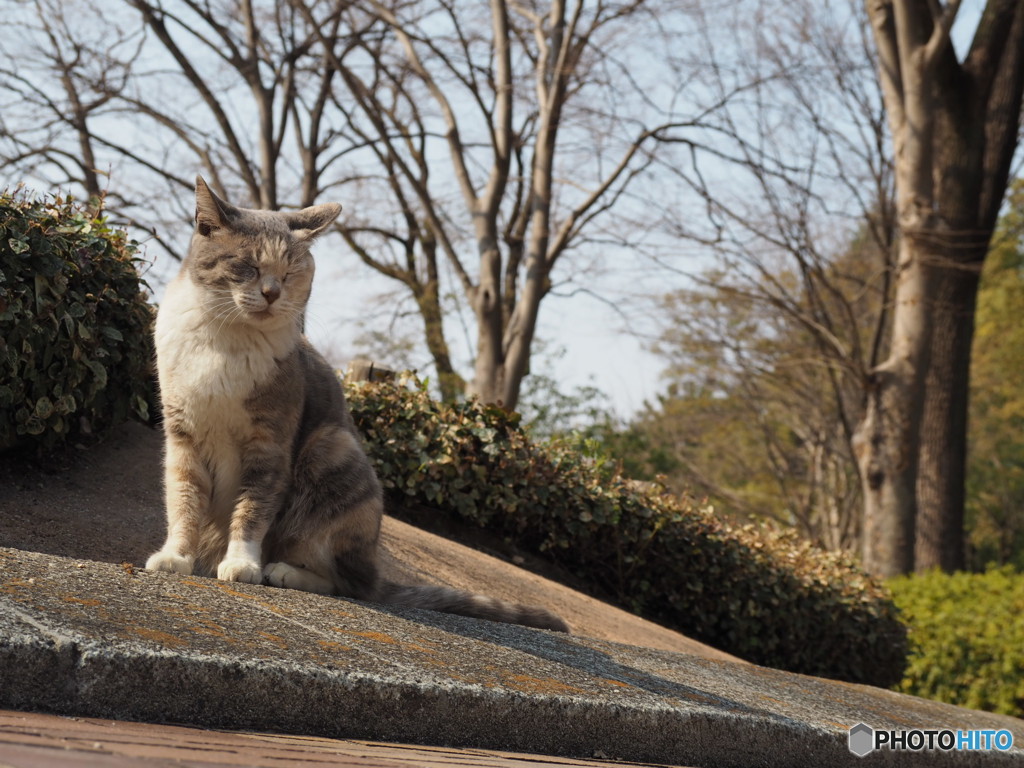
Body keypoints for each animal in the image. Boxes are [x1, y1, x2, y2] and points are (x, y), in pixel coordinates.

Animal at [145, 177, 573, 634]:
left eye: (290, 272)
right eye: (248, 266)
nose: (272, 293)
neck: (225, 342)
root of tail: (375, 569)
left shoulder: (270, 442)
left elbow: (254, 506)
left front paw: (242, 563)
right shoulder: (183, 435)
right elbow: (184, 500)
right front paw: (176, 557)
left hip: (330, 452)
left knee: (347, 583)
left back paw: (281, 571)